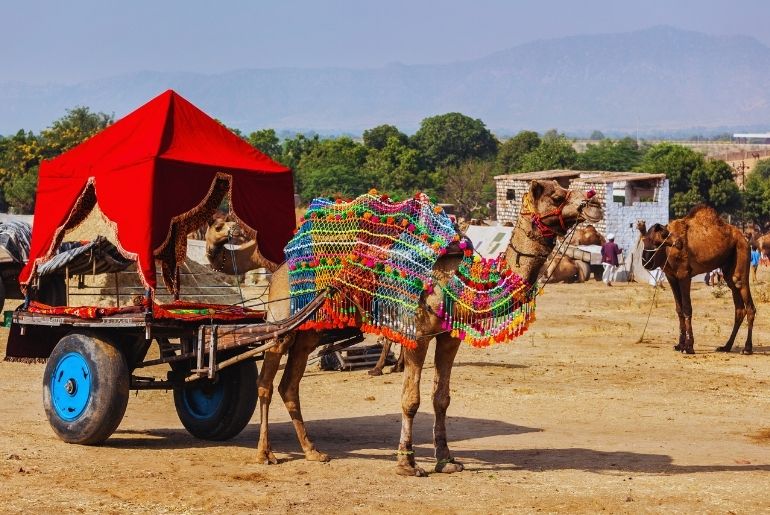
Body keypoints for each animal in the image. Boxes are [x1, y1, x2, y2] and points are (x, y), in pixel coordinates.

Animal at [255, 180, 604, 476]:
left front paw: (447, 460)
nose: (595, 203)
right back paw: (265, 454)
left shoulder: (449, 337)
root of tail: (279, 269)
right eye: (557, 196)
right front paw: (407, 463)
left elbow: (441, 399)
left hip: (311, 328)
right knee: (266, 381)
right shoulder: (418, 333)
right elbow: (411, 399)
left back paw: (312, 451)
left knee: (289, 385)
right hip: (281, 321)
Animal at [632, 205, 752, 354]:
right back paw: (726, 346)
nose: (679, 243)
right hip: (729, 271)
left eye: (664, 235)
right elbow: (679, 309)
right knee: (739, 309)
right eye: (645, 240)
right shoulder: (672, 277)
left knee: (749, 305)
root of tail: (744, 238)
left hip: (741, 256)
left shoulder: (684, 275)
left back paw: (747, 348)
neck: (667, 252)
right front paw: (679, 345)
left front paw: (689, 347)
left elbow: (687, 308)